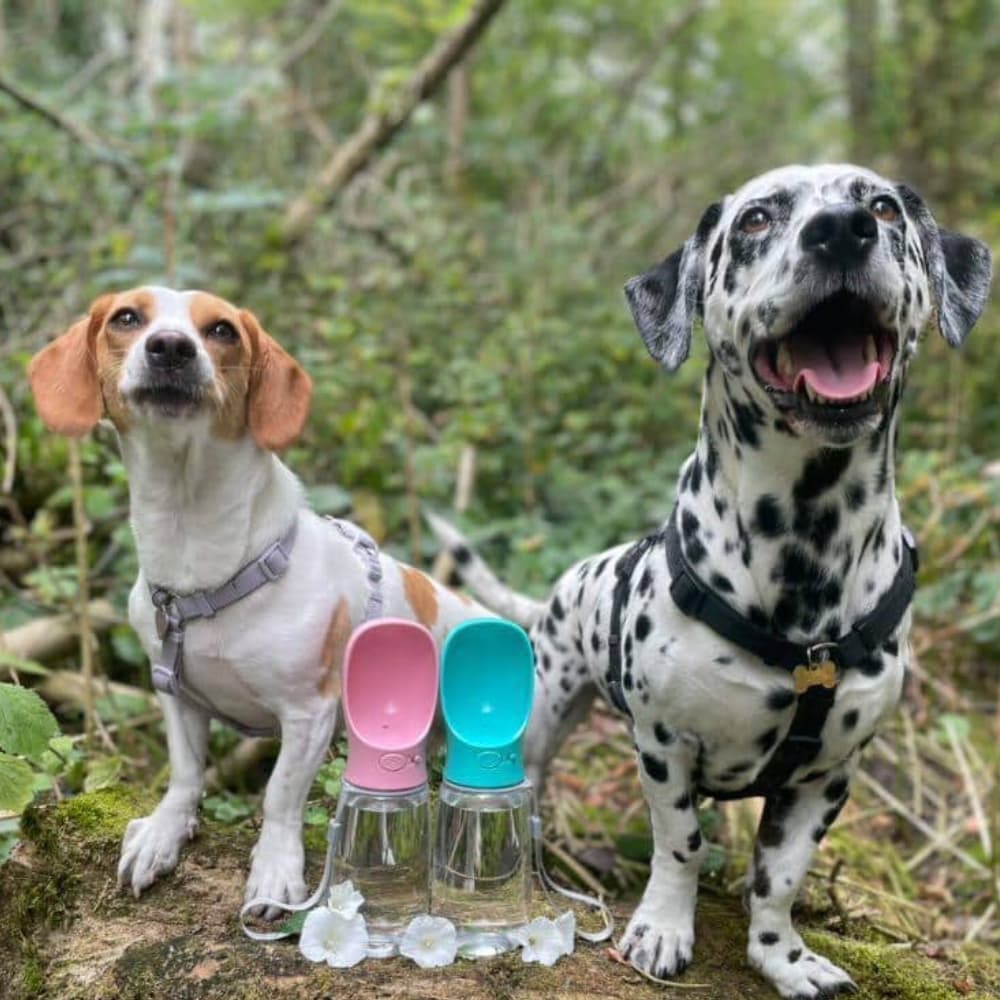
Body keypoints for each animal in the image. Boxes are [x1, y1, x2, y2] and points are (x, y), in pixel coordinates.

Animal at [30, 288, 484, 916]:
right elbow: (185, 775)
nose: (170, 347)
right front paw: (164, 833)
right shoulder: (175, 694)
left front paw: (274, 871)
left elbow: (279, 796)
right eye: (126, 317)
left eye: (222, 330)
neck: (195, 548)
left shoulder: (308, 714)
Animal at [432, 166, 992, 1000]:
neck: (806, 546)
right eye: (757, 219)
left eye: (883, 205)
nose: (842, 229)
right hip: (548, 709)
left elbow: (781, 877)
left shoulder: (829, 775)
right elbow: (681, 844)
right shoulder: (666, 746)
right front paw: (663, 929)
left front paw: (781, 956)